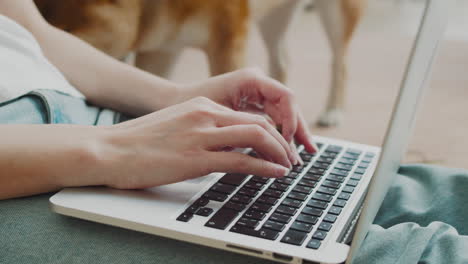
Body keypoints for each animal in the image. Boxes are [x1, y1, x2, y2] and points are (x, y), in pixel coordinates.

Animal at [34, 0, 368, 126]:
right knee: (283, 60)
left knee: (341, 63)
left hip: (337, 13)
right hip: (275, 18)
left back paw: (333, 110)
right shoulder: (162, 49)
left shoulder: (229, 40)